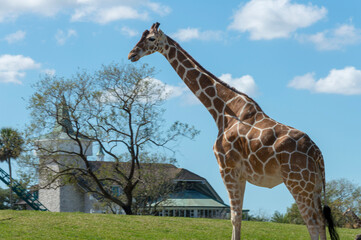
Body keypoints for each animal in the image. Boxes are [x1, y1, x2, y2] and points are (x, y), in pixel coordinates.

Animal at [128, 22, 338, 240]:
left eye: (151, 38)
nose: (131, 54)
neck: (223, 111)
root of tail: (317, 154)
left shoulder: (227, 168)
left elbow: (234, 217)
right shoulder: (241, 174)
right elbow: (238, 218)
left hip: (297, 182)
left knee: (312, 222)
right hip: (314, 186)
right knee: (320, 221)